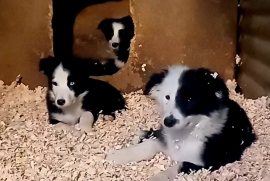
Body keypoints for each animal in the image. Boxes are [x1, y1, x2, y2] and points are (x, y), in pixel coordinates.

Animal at [106, 66, 256, 181]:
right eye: (167, 97)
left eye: (190, 99)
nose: (168, 122)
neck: (185, 134)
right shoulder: (165, 138)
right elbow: (149, 144)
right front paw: (117, 156)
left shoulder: (210, 163)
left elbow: (179, 166)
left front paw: (156, 178)